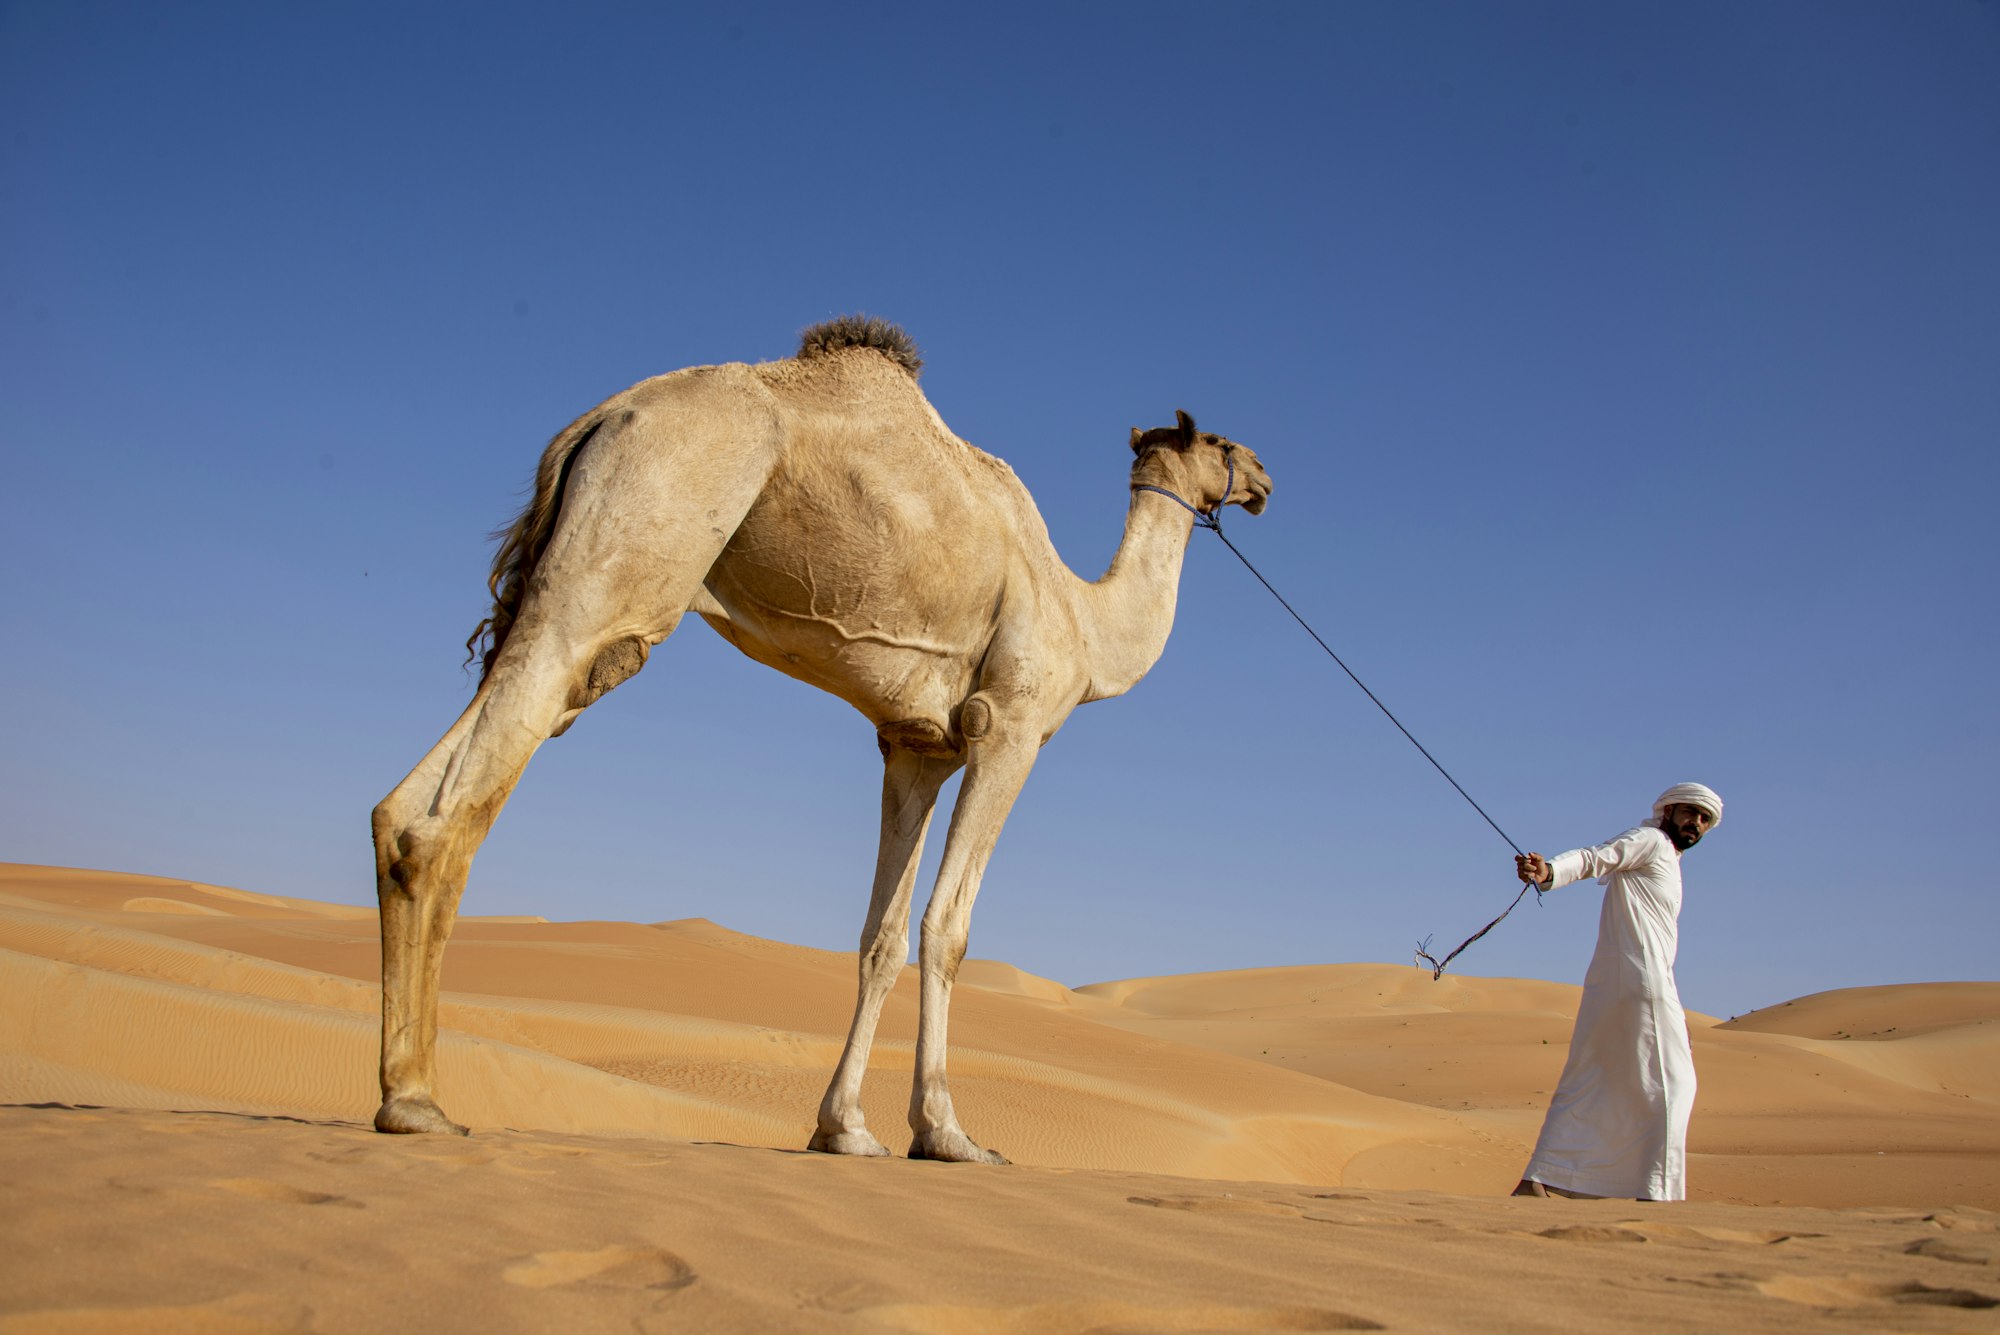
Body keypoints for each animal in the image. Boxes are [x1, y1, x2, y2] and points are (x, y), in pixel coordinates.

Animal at [370, 317, 1272, 1163]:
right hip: (628, 553)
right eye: (1222, 443)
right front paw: (948, 1133)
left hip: (570, 579)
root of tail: (599, 418)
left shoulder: (917, 747)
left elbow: (881, 937)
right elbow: (948, 929)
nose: (1265, 478)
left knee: (409, 801)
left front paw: (844, 1127)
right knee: (454, 805)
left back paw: (403, 1089)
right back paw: (416, 1100)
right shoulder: (1008, 726)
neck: (1087, 622)